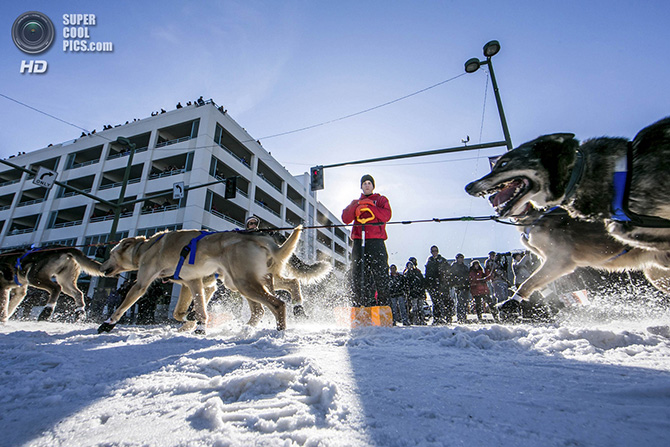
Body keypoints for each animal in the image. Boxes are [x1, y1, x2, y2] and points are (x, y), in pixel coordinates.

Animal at [99, 228, 304, 336]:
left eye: (111, 254)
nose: (101, 268)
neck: (147, 247)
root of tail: (256, 237)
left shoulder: (141, 283)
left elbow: (124, 304)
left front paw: (108, 323)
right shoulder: (192, 283)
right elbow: (185, 311)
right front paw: (192, 323)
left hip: (244, 283)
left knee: (277, 304)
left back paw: (280, 330)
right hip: (240, 282)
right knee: (276, 296)